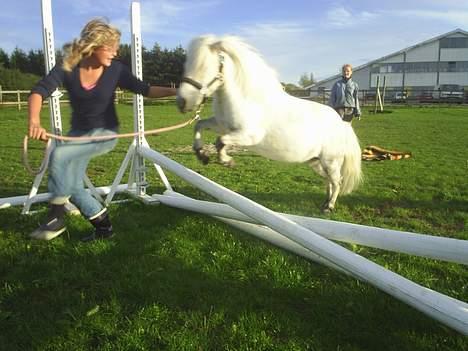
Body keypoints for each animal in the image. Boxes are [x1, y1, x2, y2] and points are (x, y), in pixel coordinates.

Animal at [176, 35, 362, 212]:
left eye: (204, 67)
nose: (182, 102)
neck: (248, 99)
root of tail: (341, 124)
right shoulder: (222, 125)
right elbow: (199, 125)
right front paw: (201, 154)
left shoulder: (249, 136)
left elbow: (220, 141)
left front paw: (226, 161)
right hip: (316, 162)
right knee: (328, 181)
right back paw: (324, 203)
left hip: (331, 162)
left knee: (337, 181)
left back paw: (329, 207)